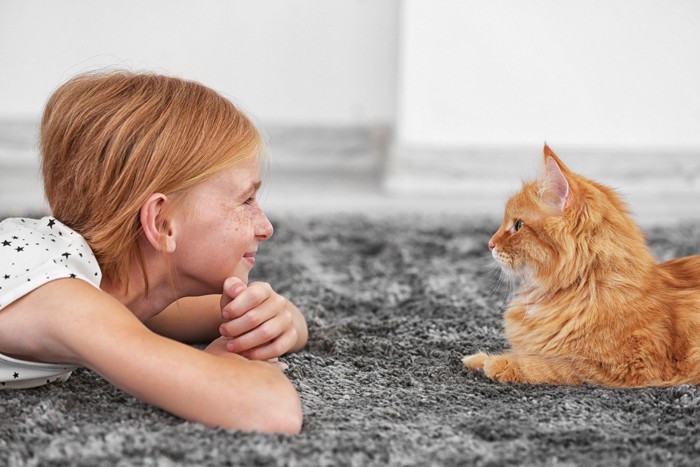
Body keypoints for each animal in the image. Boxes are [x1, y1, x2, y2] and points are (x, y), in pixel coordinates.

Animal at [464, 145, 700, 388]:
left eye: (518, 225)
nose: (490, 244)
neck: (586, 287)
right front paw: (478, 359)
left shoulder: (626, 367)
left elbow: (553, 365)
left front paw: (500, 363)